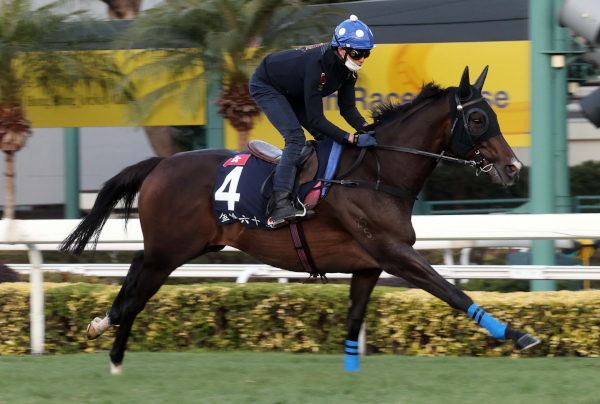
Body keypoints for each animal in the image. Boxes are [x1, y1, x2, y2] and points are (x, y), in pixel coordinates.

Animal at [61, 66, 540, 376]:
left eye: (491, 115)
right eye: (476, 118)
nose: (513, 167)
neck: (378, 173)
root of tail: (161, 163)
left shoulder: (368, 265)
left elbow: (354, 318)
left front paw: (351, 373)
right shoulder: (394, 253)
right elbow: (453, 292)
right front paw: (520, 335)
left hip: (181, 248)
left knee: (135, 282)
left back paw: (112, 346)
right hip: (172, 249)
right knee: (136, 292)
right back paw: (107, 334)